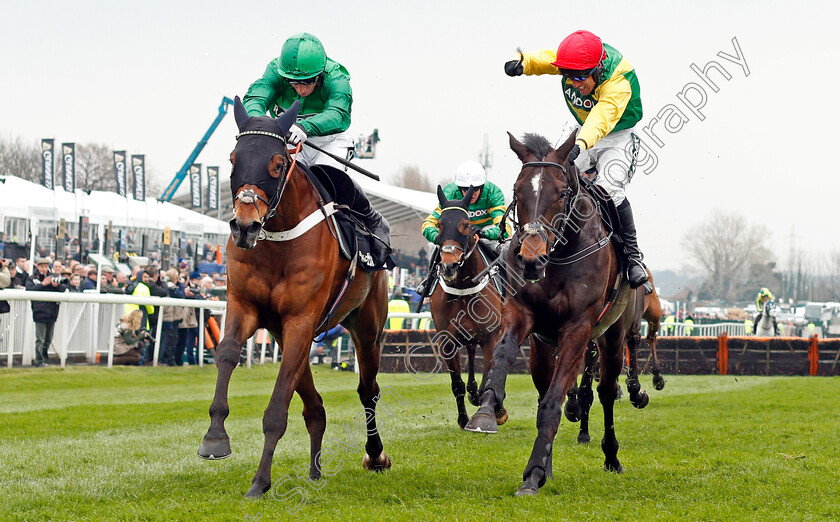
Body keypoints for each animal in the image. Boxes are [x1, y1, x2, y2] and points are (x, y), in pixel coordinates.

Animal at [199, 96, 392, 496]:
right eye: (232, 159)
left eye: (276, 164)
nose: (244, 227)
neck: (277, 239)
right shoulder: (245, 306)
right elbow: (226, 352)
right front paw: (215, 438)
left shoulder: (301, 320)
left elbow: (276, 411)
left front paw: (260, 482)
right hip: (284, 335)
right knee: (315, 407)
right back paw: (315, 471)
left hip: (367, 328)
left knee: (368, 390)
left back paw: (375, 454)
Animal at [426, 186, 506, 426]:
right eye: (440, 224)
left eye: (466, 224)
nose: (449, 265)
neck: (463, 287)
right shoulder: (447, 341)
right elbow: (457, 385)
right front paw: (463, 418)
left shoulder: (491, 336)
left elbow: (489, 375)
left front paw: (492, 411)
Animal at [462, 131, 648, 496]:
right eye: (517, 190)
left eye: (561, 193)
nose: (531, 259)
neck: (559, 256)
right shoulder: (520, 313)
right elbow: (503, 356)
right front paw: (487, 411)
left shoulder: (578, 328)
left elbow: (553, 403)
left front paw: (533, 474)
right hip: (542, 347)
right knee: (543, 387)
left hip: (613, 336)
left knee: (605, 392)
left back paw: (611, 456)